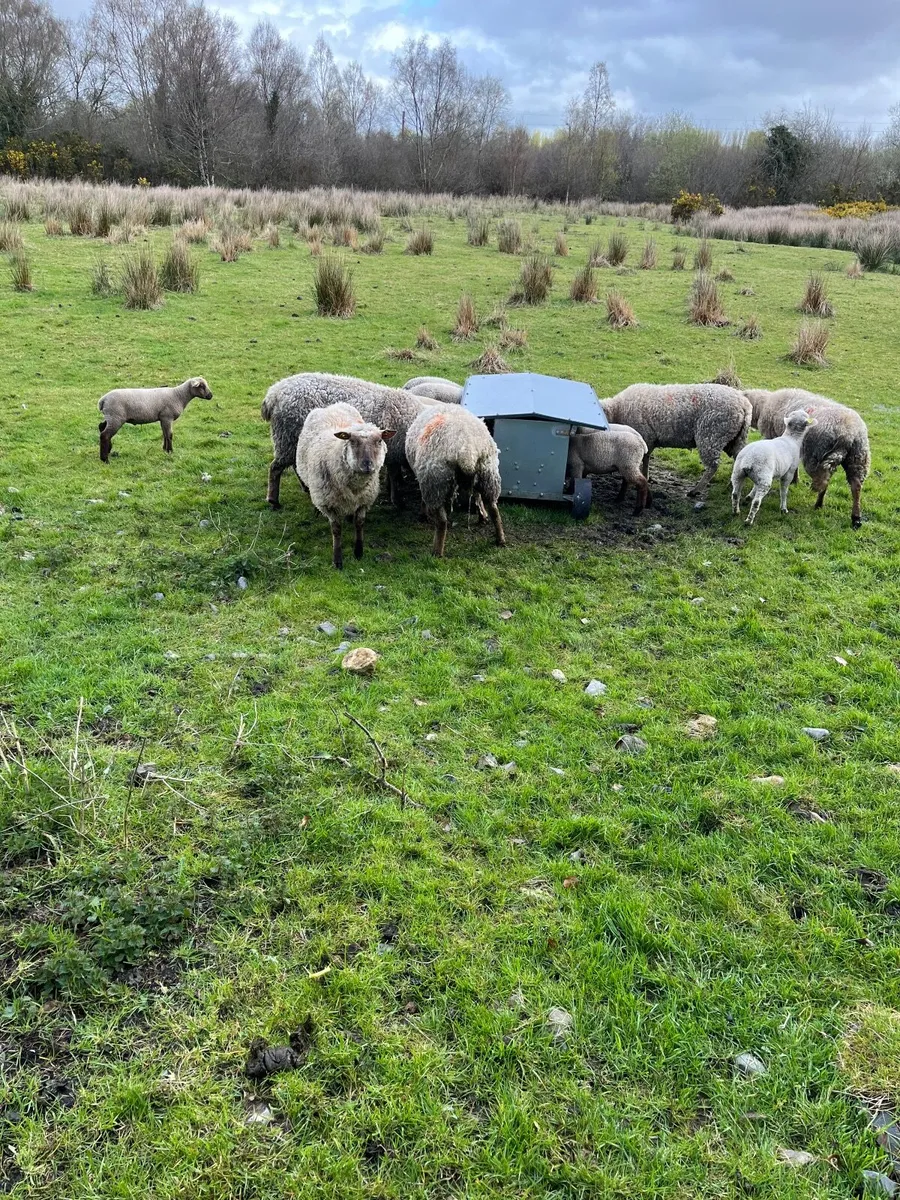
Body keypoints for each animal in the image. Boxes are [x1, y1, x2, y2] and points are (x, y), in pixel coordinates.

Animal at [261, 372, 431, 509]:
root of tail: (273, 393)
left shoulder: (391, 454)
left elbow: (393, 476)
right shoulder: (395, 452)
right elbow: (395, 477)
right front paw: (398, 501)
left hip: (294, 441)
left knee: (295, 465)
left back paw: (305, 487)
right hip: (286, 438)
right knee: (275, 468)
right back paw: (274, 501)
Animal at [295, 402, 395, 569]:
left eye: (379, 440)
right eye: (352, 441)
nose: (367, 465)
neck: (355, 487)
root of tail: (331, 406)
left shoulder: (364, 501)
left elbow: (359, 524)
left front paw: (358, 552)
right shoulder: (329, 505)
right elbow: (336, 530)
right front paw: (337, 560)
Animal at [405, 404, 505, 556]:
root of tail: (466, 450)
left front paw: (423, 515)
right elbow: (477, 496)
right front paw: (482, 515)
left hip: (434, 482)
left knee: (442, 521)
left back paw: (437, 551)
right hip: (488, 474)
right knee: (494, 510)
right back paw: (500, 539)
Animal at [598, 383, 752, 497]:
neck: (617, 410)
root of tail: (744, 405)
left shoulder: (645, 436)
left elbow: (644, 458)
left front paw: (644, 475)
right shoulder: (648, 440)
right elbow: (647, 458)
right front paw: (647, 476)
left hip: (711, 435)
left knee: (713, 466)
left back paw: (695, 490)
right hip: (734, 438)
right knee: (739, 458)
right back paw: (732, 484)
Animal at [744, 388, 870, 528]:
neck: (764, 404)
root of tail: (848, 434)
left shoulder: (773, 437)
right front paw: (795, 480)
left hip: (817, 456)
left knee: (824, 482)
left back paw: (819, 504)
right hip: (858, 458)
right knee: (856, 486)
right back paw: (856, 518)